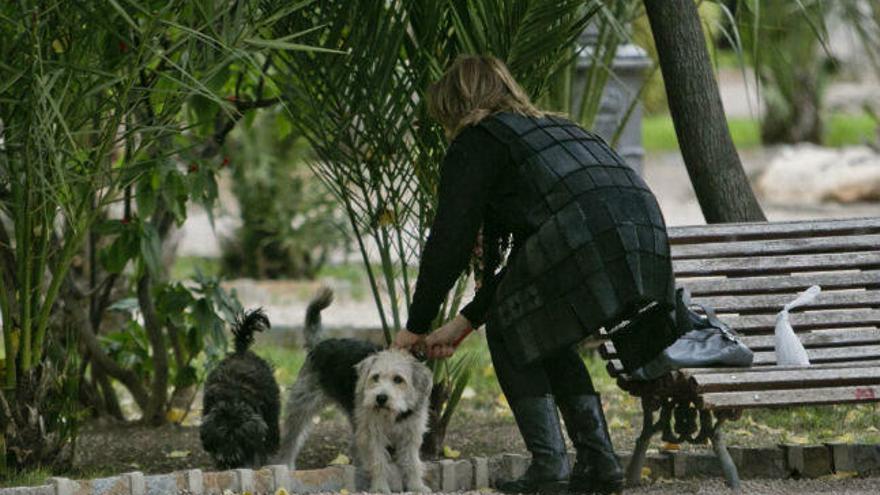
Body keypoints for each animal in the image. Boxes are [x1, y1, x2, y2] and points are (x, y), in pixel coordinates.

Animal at [201, 310, 280, 468]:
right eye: (221, 437)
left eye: (240, 438)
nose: (229, 460)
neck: (231, 400)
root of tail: (241, 351)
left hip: (272, 407)